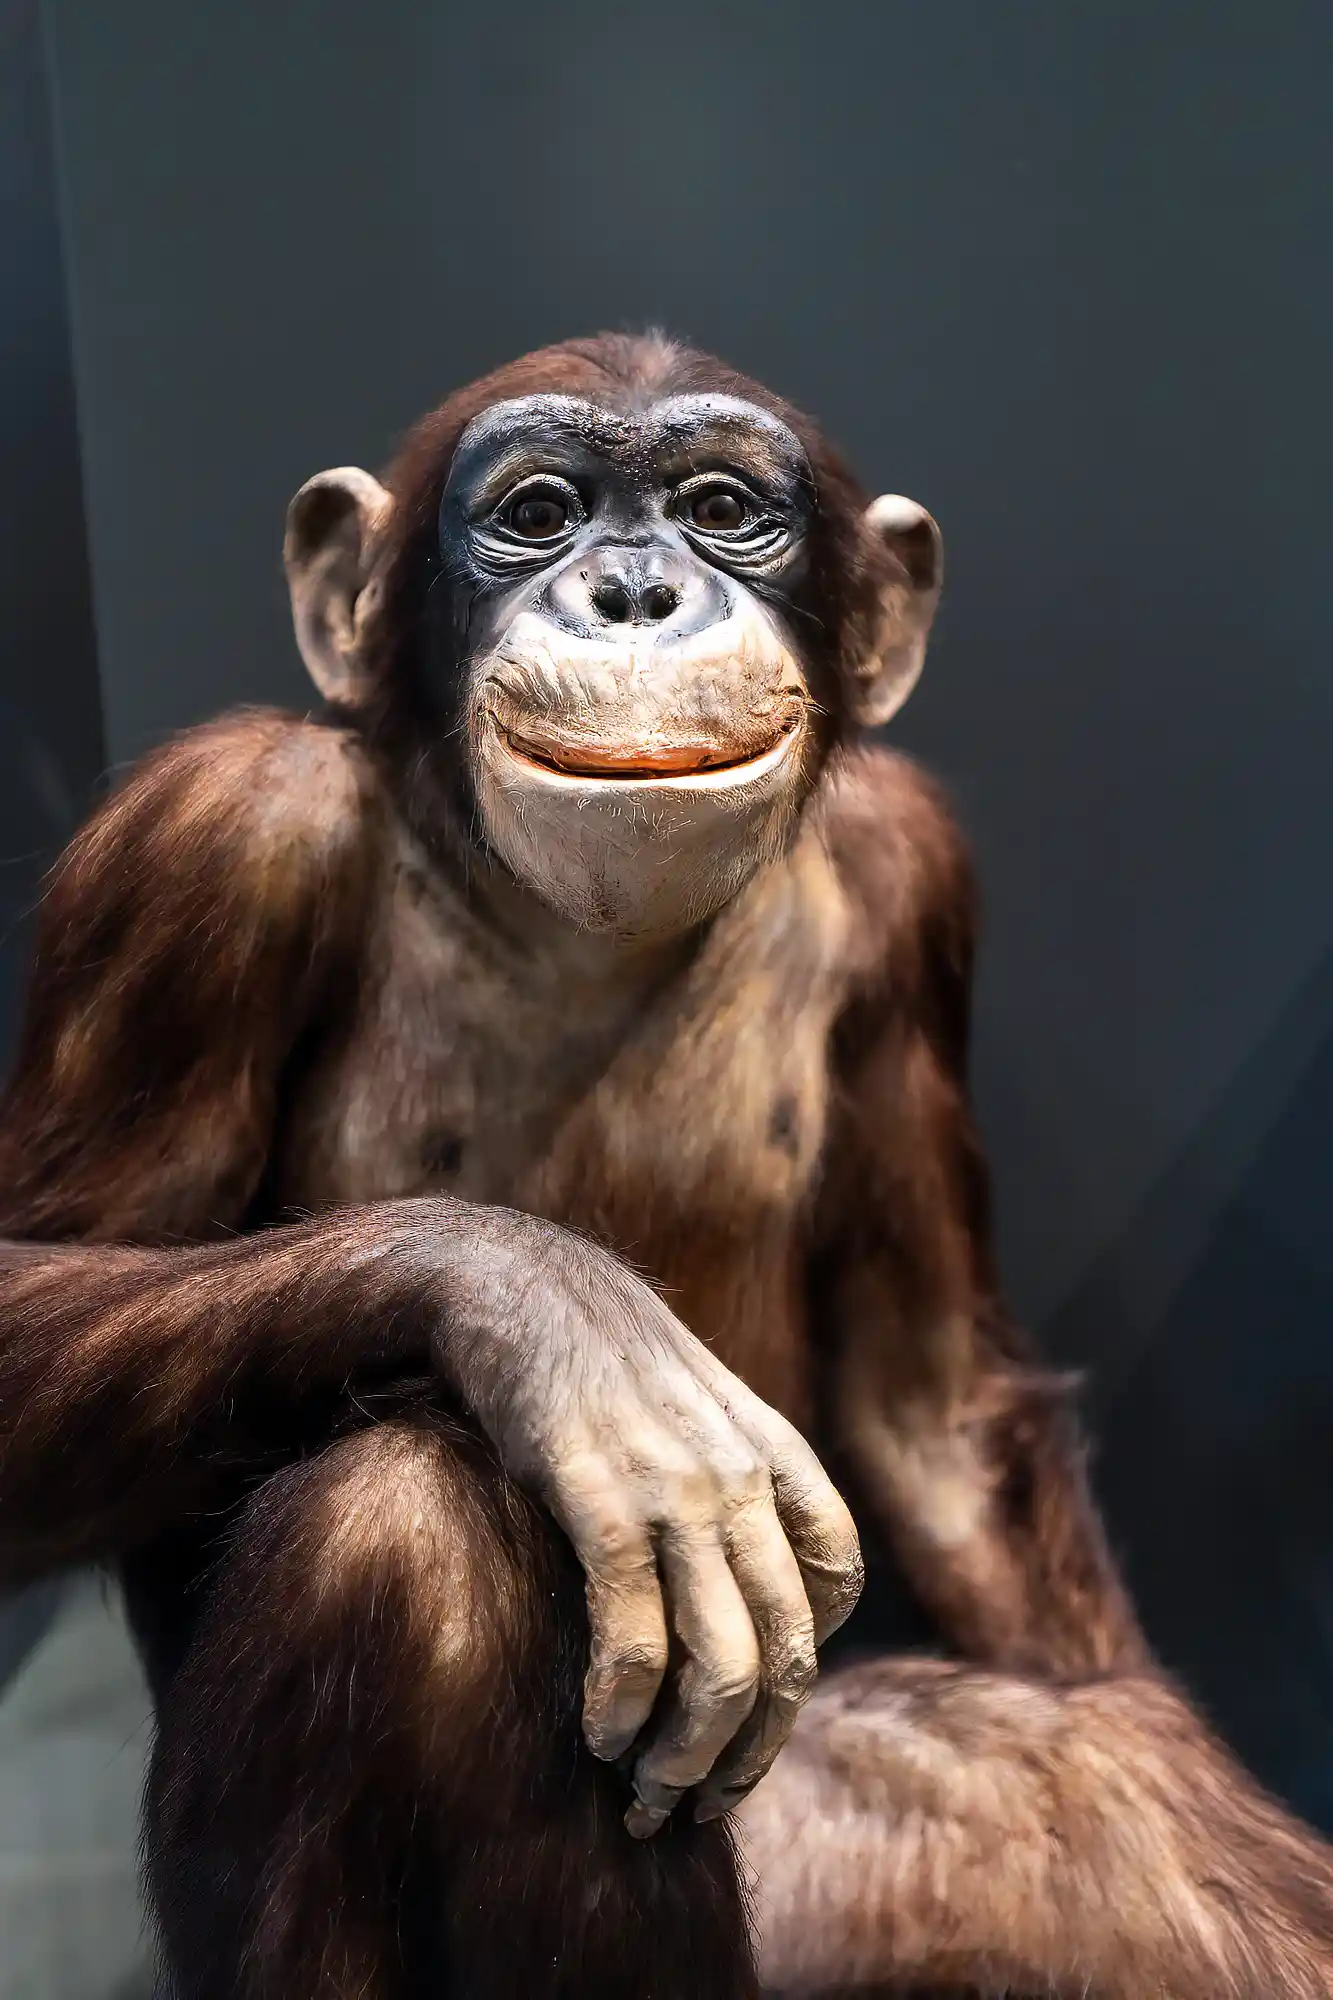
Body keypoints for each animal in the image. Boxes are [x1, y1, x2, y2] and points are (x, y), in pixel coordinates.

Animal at [0, 331, 1330, 2000]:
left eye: (718, 510)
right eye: (537, 512)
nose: (633, 589)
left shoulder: (913, 883)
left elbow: (933, 1403)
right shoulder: (199, 846)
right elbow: (37, 1277)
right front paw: (577, 1334)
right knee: (396, 1527)